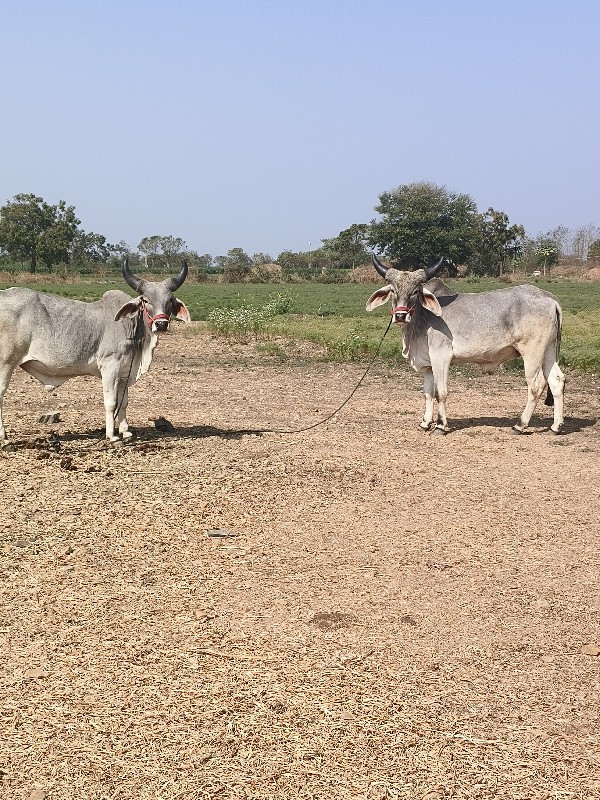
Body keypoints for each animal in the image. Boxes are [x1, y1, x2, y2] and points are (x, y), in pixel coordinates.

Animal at [0, 260, 190, 444]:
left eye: (170, 299)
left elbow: (124, 403)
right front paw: (112, 435)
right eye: (145, 300)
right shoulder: (110, 367)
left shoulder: (124, 373)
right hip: (6, 362)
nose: (161, 324)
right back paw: (4, 437)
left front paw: (125, 431)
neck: (131, 326)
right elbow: (111, 403)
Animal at [366, 256, 568, 434]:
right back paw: (556, 426)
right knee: (557, 380)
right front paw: (425, 423)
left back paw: (520, 425)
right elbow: (428, 393)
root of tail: (549, 298)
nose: (400, 315)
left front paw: (441, 425)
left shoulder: (441, 357)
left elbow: (440, 392)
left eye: (415, 291)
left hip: (532, 352)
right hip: (547, 351)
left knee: (536, 385)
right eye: (393, 290)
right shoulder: (428, 364)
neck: (422, 317)